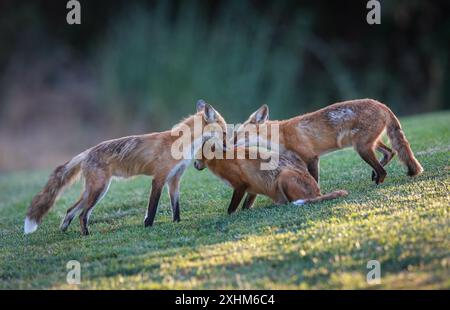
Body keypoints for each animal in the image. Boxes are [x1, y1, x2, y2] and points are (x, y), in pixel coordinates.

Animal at [23, 101, 229, 235]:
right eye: (225, 132)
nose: (228, 146)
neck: (182, 144)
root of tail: (88, 152)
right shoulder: (159, 178)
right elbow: (152, 208)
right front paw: (148, 226)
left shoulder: (174, 179)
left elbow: (175, 206)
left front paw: (176, 223)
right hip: (99, 190)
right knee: (82, 214)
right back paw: (86, 234)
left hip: (92, 191)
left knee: (70, 211)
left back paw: (65, 230)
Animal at [193, 143, 348, 213]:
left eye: (198, 156)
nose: (194, 164)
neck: (222, 159)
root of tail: (318, 192)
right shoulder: (252, 188)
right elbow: (245, 206)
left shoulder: (240, 185)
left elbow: (231, 209)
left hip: (283, 176)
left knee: (287, 202)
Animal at [237, 98, 424, 184]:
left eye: (239, 135)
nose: (229, 144)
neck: (281, 135)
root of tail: (380, 103)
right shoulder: (298, 160)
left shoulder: (311, 158)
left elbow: (314, 180)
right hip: (369, 144)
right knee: (390, 153)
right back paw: (375, 174)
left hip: (362, 148)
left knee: (384, 168)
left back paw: (378, 180)